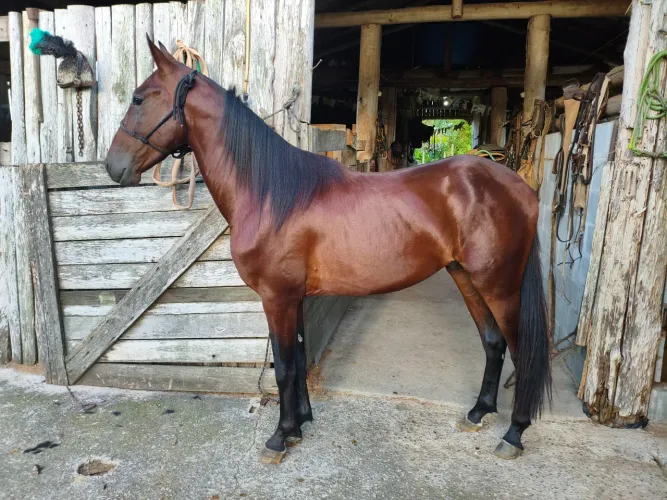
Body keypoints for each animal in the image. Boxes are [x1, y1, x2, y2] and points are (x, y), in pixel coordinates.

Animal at [106, 37, 552, 463]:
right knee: (493, 342)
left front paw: (279, 438)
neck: (271, 194)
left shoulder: (277, 297)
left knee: (522, 351)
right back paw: (478, 413)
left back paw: (514, 434)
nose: (113, 167)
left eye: (139, 98)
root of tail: (519, 187)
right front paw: (300, 424)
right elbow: (300, 359)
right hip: (466, 276)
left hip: (499, 286)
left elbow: (284, 368)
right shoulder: (294, 297)